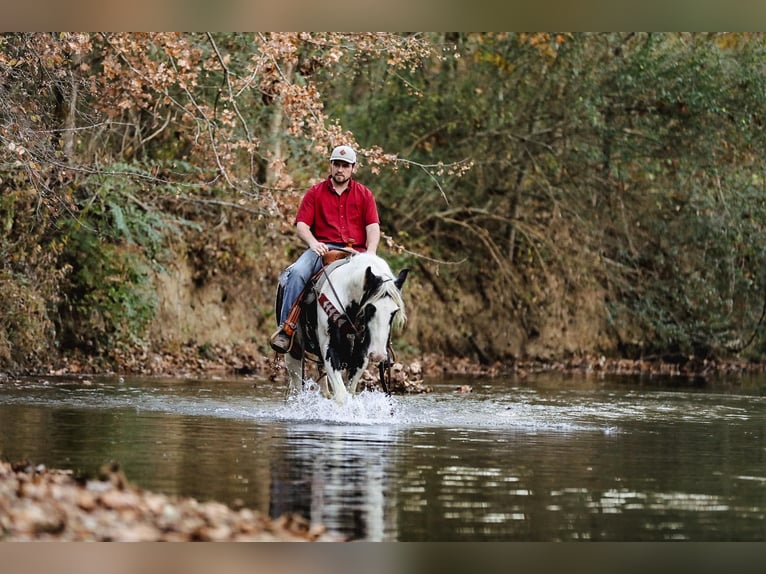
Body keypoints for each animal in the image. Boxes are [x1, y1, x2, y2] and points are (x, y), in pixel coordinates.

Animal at [274, 251, 408, 404]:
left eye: (394, 311)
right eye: (370, 308)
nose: (378, 355)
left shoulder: (361, 355)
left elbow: (350, 392)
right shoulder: (330, 349)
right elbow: (341, 396)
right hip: (293, 352)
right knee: (297, 386)